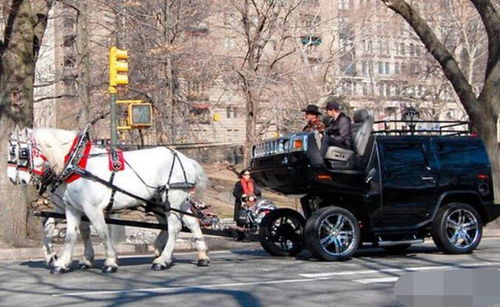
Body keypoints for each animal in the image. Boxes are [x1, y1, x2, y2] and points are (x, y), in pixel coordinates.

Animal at [10, 127, 209, 274]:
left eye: (21, 152)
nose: (14, 179)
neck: (76, 162)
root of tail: (186, 159)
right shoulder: (71, 207)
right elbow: (70, 233)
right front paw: (60, 261)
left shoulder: (90, 208)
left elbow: (102, 232)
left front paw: (110, 262)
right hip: (166, 202)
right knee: (189, 222)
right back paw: (200, 256)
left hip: (172, 199)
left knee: (174, 226)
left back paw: (163, 259)